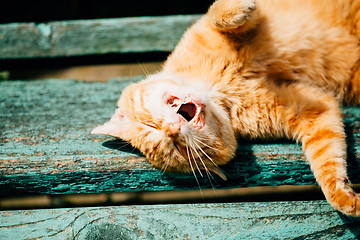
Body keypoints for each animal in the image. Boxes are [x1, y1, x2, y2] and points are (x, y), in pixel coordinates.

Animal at [91, 0, 360, 217]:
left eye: (151, 125)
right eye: (177, 149)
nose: (171, 130)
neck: (218, 88)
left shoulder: (235, 25)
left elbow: (217, 14)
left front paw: (239, 9)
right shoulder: (312, 110)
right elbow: (327, 160)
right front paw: (344, 197)